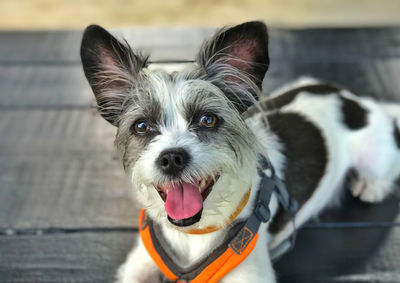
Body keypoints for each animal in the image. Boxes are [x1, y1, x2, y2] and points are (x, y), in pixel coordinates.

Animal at [79, 21, 400, 282]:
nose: (171, 158)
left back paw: (371, 185)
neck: (194, 233)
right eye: (142, 126)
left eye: (207, 119)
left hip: (373, 156)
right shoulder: (139, 264)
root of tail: (354, 100)